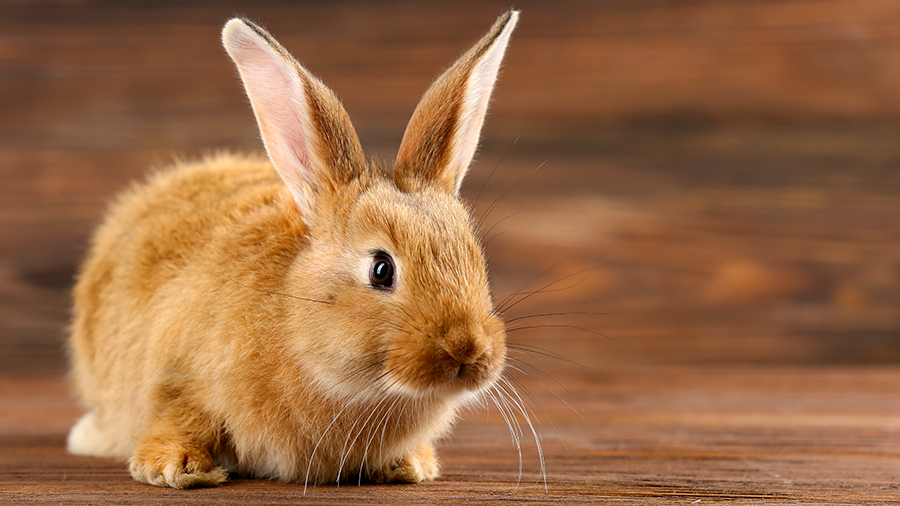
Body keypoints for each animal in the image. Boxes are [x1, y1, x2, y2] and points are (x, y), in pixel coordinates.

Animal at [66, 10, 519, 489]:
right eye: (381, 269)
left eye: (476, 260)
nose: (468, 349)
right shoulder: (176, 374)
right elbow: (180, 414)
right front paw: (176, 467)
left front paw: (412, 465)